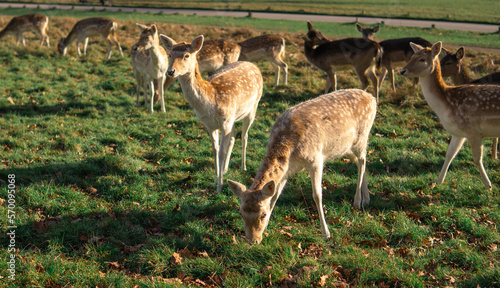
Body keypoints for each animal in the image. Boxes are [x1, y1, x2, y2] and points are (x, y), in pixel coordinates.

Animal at [162, 35, 266, 194]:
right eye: (169, 55)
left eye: (186, 55)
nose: (170, 71)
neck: (209, 102)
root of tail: (253, 65)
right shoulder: (210, 124)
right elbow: (215, 149)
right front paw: (217, 174)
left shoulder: (225, 122)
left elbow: (222, 151)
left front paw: (219, 186)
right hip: (233, 117)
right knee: (233, 137)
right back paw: (226, 168)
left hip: (253, 106)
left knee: (244, 136)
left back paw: (243, 166)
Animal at [227, 89, 376, 244]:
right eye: (240, 212)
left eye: (263, 214)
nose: (252, 241)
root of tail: (371, 98)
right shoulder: (286, 170)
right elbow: (275, 196)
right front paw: (267, 227)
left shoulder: (316, 159)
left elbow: (317, 195)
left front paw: (326, 233)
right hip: (344, 148)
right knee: (359, 162)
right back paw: (366, 199)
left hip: (361, 138)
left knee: (363, 160)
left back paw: (358, 201)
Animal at [400, 41, 500, 189]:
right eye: (412, 56)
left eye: (422, 59)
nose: (402, 71)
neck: (446, 105)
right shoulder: (458, 133)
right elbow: (449, 154)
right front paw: (437, 181)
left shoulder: (473, 130)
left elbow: (477, 159)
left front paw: (488, 185)